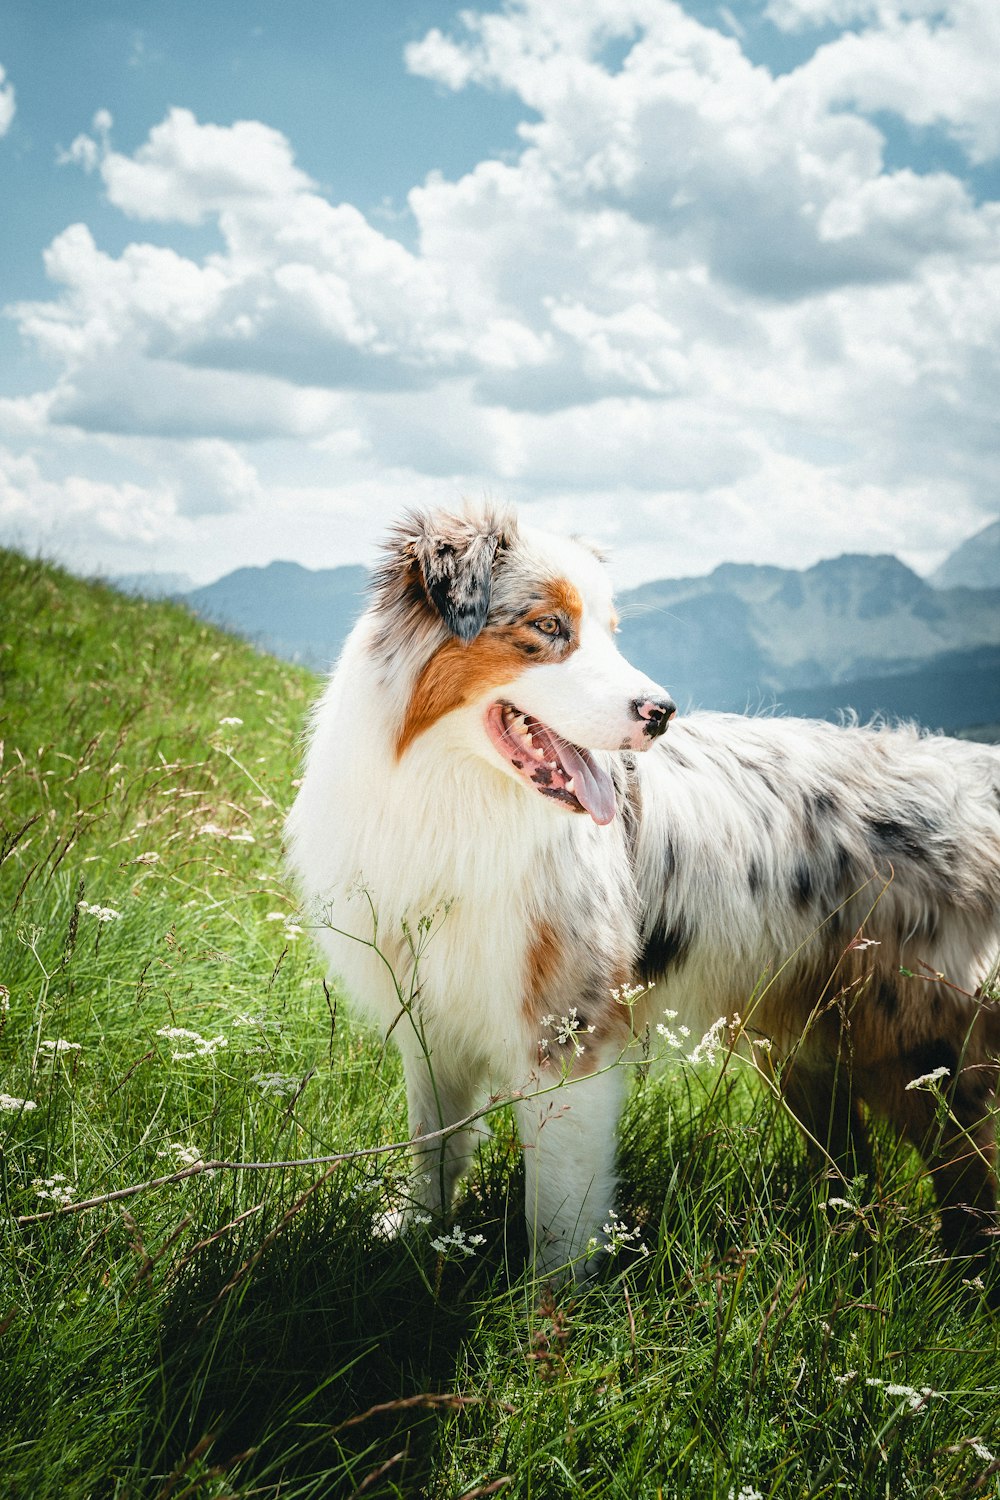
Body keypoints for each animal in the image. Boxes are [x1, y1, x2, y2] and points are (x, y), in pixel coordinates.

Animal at [283, 504, 1000, 1278]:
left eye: (609, 629)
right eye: (549, 625)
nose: (662, 711)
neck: (455, 795)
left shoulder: (569, 1030)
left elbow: (558, 1209)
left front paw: (547, 1303)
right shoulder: (430, 1015)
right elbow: (433, 1143)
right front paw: (418, 1230)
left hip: (921, 1047)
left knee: (970, 1176)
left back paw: (960, 1276)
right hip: (811, 1038)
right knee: (852, 1161)